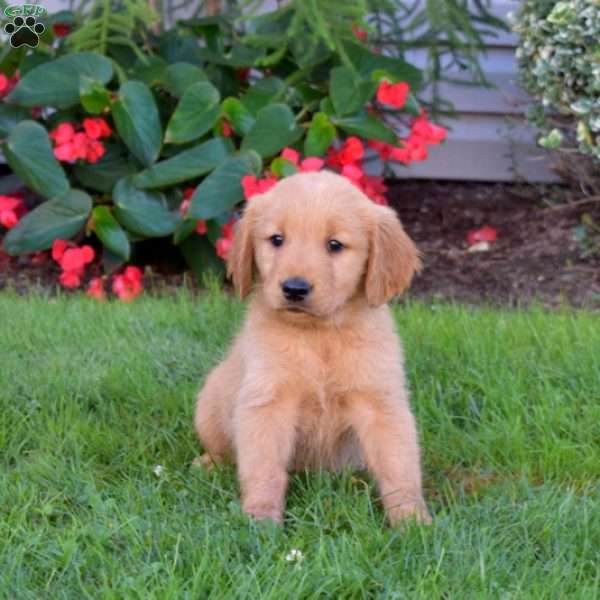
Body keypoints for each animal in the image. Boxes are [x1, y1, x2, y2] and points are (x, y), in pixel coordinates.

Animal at [195, 169, 428, 524]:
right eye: (277, 239)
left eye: (335, 245)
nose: (294, 288)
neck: (320, 336)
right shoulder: (267, 403)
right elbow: (264, 469)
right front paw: (260, 517)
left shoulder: (380, 402)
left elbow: (398, 467)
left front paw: (412, 521)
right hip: (209, 403)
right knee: (222, 451)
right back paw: (207, 464)